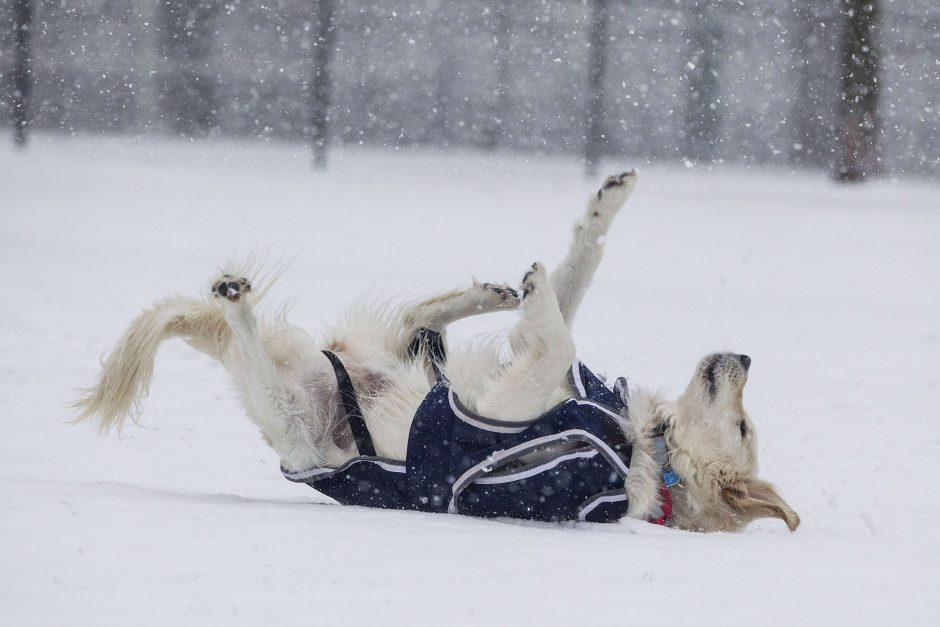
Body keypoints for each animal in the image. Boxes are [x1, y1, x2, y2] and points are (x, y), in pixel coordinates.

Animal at [75, 172, 800, 536]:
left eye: (743, 428)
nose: (746, 357)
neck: (642, 442)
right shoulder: (531, 373)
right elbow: (574, 287)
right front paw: (601, 209)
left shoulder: (506, 407)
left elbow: (555, 332)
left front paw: (539, 288)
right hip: (392, 353)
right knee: (418, 323)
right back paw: (486, 292)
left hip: (286, 415)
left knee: (248, 339)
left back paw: (235, 299)